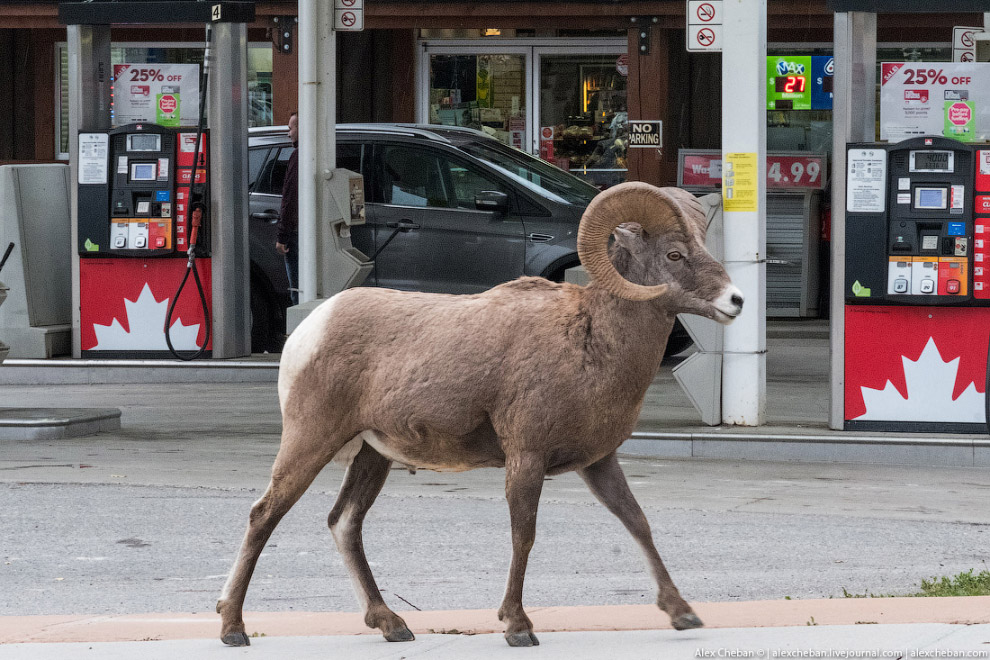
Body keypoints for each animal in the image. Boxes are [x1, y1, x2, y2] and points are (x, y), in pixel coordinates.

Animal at [217, 183, 744, 648]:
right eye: (673, 255)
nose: (735, 301)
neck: (592, 342)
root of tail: (309, 330)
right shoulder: (526, 459)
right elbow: (523, 536)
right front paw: (517, 627)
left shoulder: (599, 463)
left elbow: (637, 522)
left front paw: (683, 614)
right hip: (311, 440)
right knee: (264, 515)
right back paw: (232, 628)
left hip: (372, 455)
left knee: (344, 523)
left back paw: (392, 625)